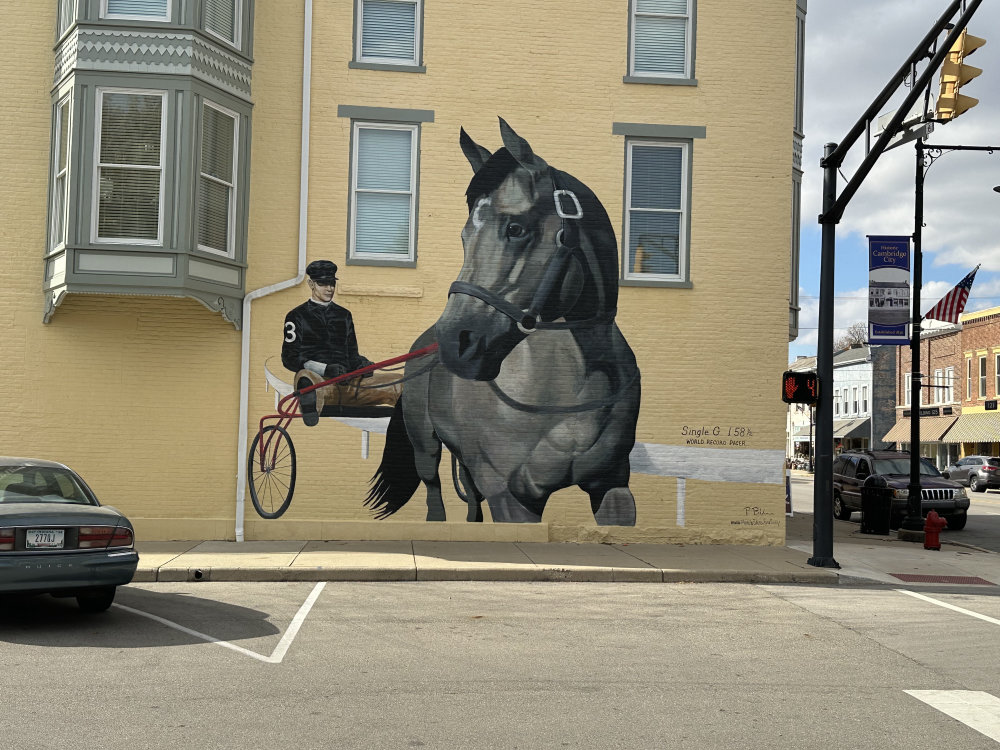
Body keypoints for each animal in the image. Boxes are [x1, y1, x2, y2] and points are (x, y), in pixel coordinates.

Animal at [368, 120, 640, 524]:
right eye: (464, 235)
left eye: (516, 228)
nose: (457, 342)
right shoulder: (512, 496)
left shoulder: (613, 485)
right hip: (426, 448)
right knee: (434, 494)